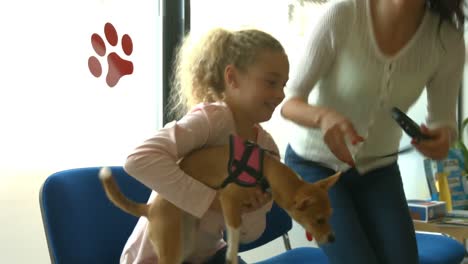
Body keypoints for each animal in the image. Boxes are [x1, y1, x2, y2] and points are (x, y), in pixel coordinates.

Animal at [99, 139, 340, 262]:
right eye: (319, 220)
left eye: (330, 216)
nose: (333, 238)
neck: (266, 169)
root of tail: (150, 209)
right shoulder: (229, 200)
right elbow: (234, 233)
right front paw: (231, 255)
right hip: (170, 247)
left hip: (183, 244)